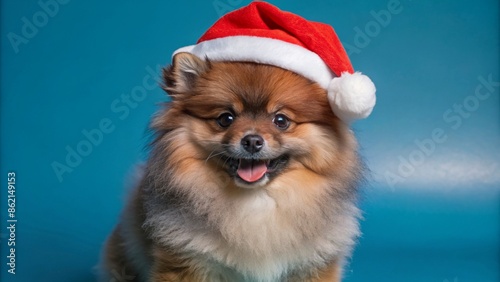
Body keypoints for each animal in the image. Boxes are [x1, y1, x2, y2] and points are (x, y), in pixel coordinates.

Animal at [100, 1, 376, 280]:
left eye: (281, 120)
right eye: (226, 118)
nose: (252, 141)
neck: (254, 205)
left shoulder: (312, 264)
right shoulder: (184, 261)